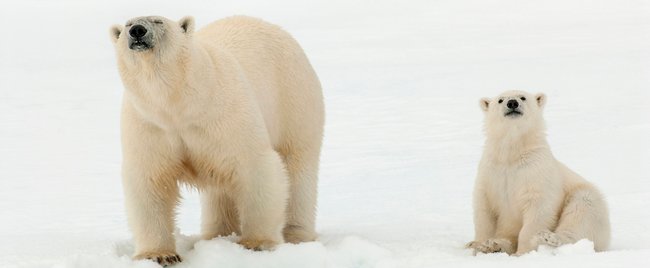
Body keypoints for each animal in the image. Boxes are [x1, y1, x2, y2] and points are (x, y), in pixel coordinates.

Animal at [112, 15, 326, 264]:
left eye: (158, 21)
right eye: (128, 24)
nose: (137, 31)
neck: (178, 106)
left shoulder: (224, 113)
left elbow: (255, 167)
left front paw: (257, 243)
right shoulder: (149, 125)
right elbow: (150, 180)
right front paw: (159, 255)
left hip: (294, 100)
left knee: (297, 167)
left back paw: (297, 235)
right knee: (220, 190)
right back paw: (216, 234)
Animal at [466, 90, 608, 255]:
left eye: (523, 97)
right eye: (500, 100)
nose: (512, 103)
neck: (512, 153)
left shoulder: (535, 169)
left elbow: (539, 207)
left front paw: (524, 251)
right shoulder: (490, 171)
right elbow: (484, 209)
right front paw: (481, 245)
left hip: (587, 199)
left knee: (581, 212)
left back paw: (550, 238)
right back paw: (495, 244)